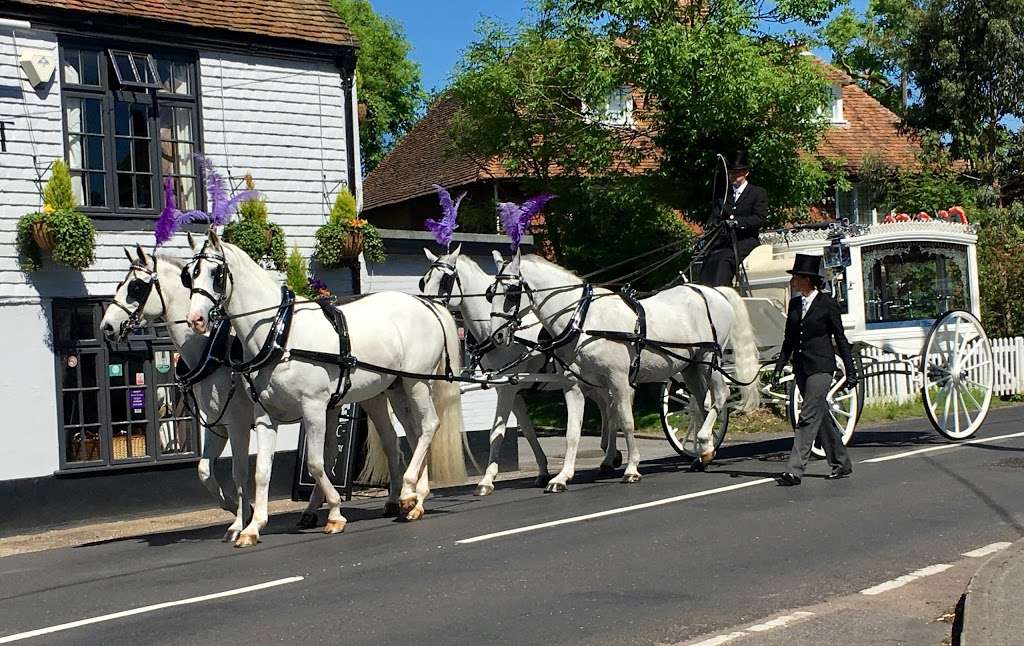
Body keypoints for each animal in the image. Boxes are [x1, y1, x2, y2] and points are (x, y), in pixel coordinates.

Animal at [98, 244, 256, 544]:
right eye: (120, 284)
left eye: (136, 287)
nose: (107, 327)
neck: (213, 350)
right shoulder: (218, 425)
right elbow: (204, 471)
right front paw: (239, 509)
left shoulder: (238, 423)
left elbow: (240, 473)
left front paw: (239, 523)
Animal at [186, 231, 466, 544]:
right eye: (190, 273)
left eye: (217, 273)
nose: (195, 320)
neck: (281, 333)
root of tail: (428, 306)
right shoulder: (264, 415)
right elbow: (262, 471)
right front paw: (252, 527)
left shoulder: (314, 407)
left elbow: (317, 463)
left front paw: (334, 513)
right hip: (396, 388)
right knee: (413, 434)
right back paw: (415, 501)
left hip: (416, 381)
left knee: (429, 425)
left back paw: (408, 493)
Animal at [419, 246, 618, 495]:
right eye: (424, 281)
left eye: (445, 280)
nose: (426, 306)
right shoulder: (508, 387)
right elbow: (528, 430)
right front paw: (542, 471)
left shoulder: (507, 390)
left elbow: (497, 432)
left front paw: (486, 480)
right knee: (606, 404)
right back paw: (610, 452)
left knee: (611, 405)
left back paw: (610, 457)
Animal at [487, 252, 761, 489]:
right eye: (490, 294)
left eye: (511, 293)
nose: (497, 336)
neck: (584, 320)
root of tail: (713, 291)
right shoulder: (574, 386)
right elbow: (573, 432)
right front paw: (562, 477)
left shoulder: (618, 380)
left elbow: (626, 422)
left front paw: (631, 469)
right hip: (691, 367)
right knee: (701, 404)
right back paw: (704, 454)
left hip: (708, 359)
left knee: (721, 396)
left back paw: (704, 442)